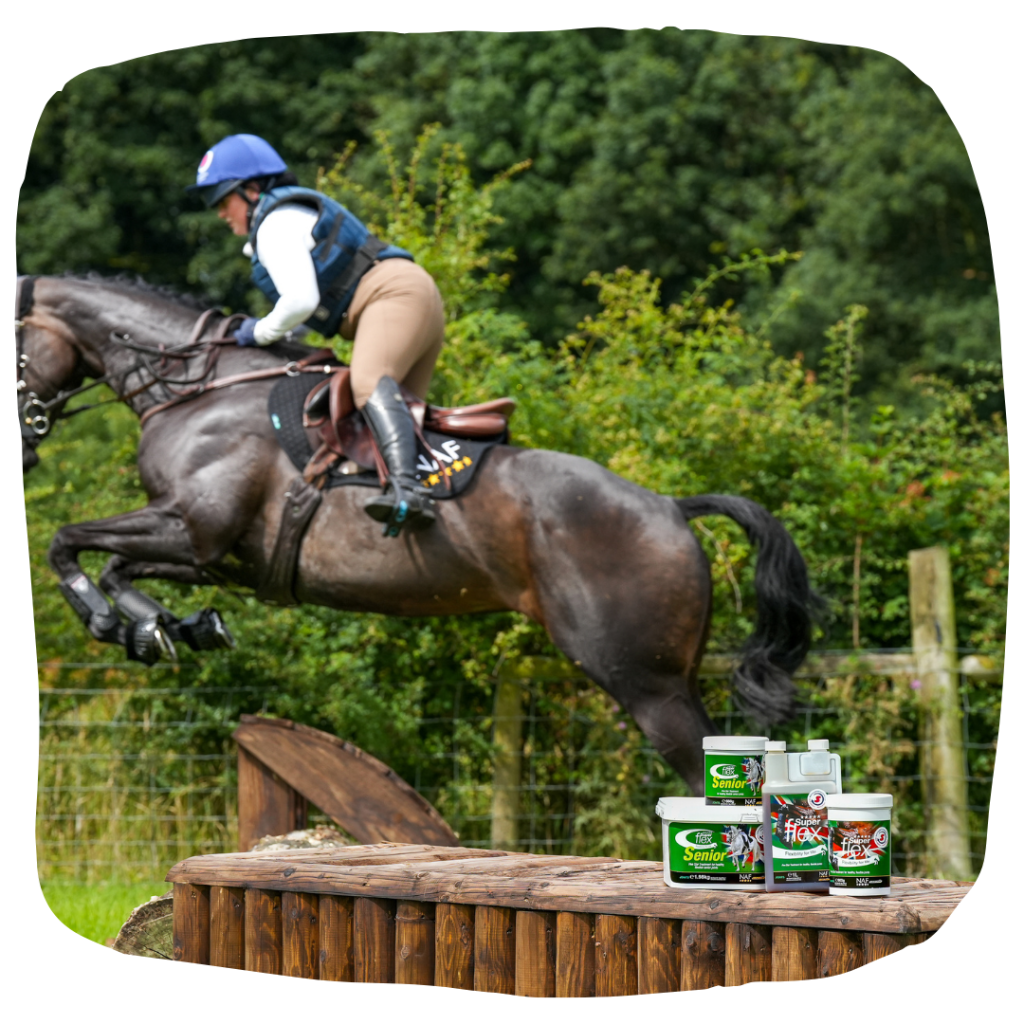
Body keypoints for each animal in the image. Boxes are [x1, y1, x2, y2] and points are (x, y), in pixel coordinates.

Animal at [16, 272, 819, 790]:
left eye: (14, 346)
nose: (23, 447)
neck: (197, 387)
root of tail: (671, 508)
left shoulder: (193, 529)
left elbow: (65, 541)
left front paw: (111, 621)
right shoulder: (209, 554)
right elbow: (113, 564)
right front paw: (162, 629)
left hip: (642, 679)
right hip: (663, 673)